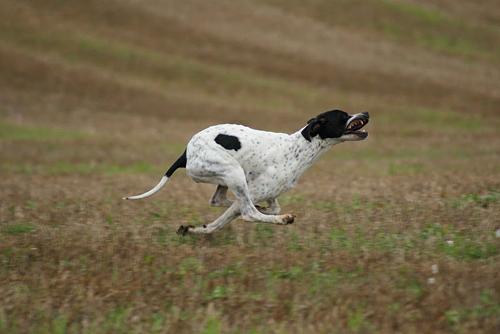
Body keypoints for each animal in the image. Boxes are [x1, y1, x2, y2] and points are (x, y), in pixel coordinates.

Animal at [123, 109, 370, 235]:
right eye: (343, 116)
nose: (366, 112)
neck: (299, 148)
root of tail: (186, 152)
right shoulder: (257, 190)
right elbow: (236, 216)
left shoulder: (268, 194)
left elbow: (265, 206)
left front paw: (194, 229)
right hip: (233, 172)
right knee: (247, 211)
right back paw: (278, 219)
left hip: (228, 178)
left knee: (220, 200)